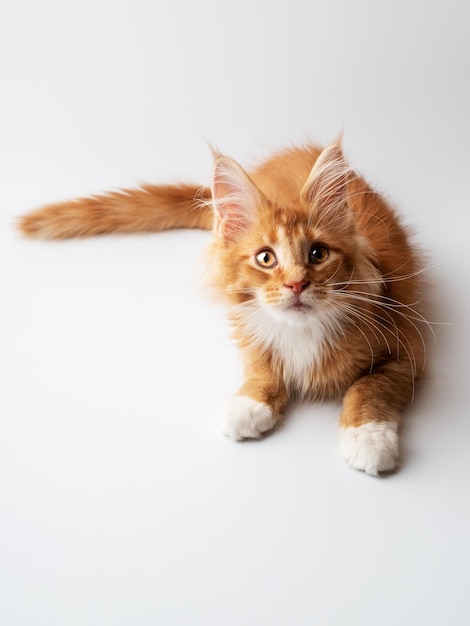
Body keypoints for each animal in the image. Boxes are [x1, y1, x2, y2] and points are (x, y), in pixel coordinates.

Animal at [19, 141, 430, 472]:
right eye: (266, 258)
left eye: (317, 254)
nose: (296, 284)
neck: (302, 330)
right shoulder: (247, 323)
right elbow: (262, 363)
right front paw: (250, 403)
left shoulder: (407, 344)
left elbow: (370, 386)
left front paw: (368, 438)